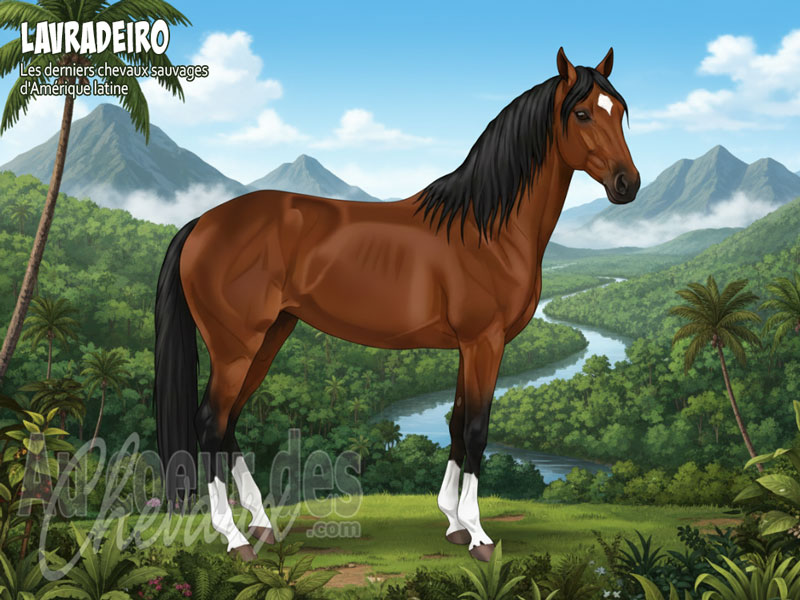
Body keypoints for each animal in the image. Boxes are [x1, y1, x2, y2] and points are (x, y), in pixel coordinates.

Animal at [153, 47, 639, 562]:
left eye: (619, 112)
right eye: (582, 114)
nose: (627, 184)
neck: (486, 229)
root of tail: (202, 222)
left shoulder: (468, 347)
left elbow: (456, 424)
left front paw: (453, 522)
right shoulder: (484, 342)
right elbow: (476, 430)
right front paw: (479, 534)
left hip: (268, 338)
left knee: (229, 423)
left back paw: (262, 523)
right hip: (235, 346)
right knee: (210, 422)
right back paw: (235, 537)